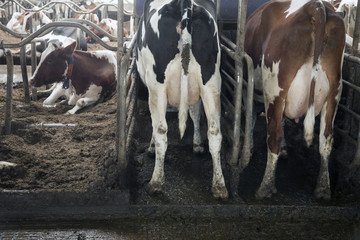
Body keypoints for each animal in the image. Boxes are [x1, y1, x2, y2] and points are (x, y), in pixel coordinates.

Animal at [136, 0, 229, 199]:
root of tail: (184, 4)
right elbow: (195, 112)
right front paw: (197, 144)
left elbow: (156, 126)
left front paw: (151, 147)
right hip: (211, 81)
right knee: (215, 131)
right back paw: (219, 186)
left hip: (157, 84)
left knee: (161, 130)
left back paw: (155, 182)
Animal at [245, 0, 346, 200]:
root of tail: (317, 6)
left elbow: (252, 116)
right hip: (334, 91)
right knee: (326, 138)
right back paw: (323, 188)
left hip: (275, 89)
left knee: (274, 135)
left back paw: (265, 188)